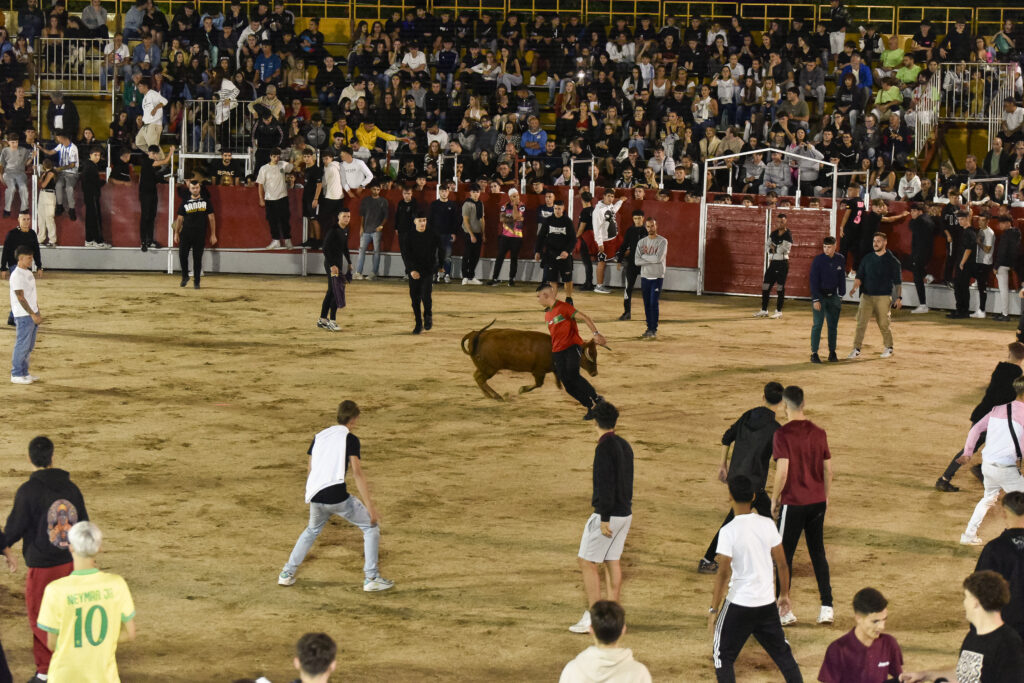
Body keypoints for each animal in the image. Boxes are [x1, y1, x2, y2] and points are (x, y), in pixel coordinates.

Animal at [458, 321, 598, 401]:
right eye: (589, 356)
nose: (594, 373)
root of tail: (475, 334)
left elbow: (556, 377)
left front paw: (559, 386)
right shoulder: (538, 371)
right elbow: (538, 384)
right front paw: (522, 389)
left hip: (484, 367)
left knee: (477, 377)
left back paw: (489, 395)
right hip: (490, 368)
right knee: (480, 379)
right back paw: (497, 396)